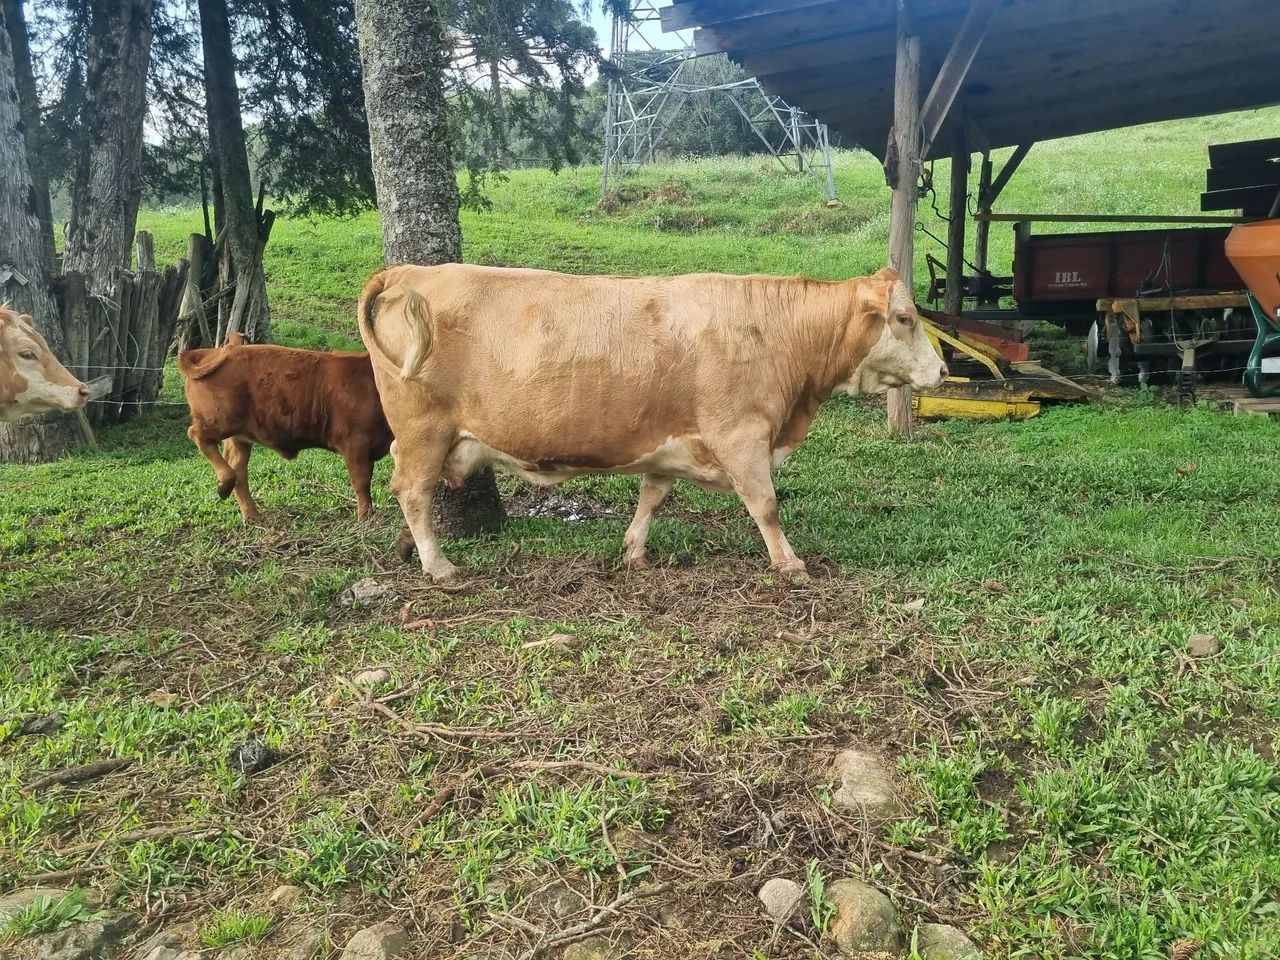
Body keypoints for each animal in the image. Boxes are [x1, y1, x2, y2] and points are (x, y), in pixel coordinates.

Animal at [178, 333, 394, 521]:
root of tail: (204, 353)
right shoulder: (355, 441)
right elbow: (362, 481)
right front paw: (365, 520)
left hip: (239, 435)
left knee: (238, 469)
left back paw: (251, 515)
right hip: (221, 421)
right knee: (197, 434)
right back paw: (224, 486)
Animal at [357, 263, 947, 582]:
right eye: (904, 317)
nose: (943, 370)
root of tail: (410, 270)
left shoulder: (670, 443)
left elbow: (652, 496)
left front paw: (634, 550)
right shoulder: (742, 435)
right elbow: (766, 504)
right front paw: (788, 562)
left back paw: (410, 548)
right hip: (425, 430)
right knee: (413, 490)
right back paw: (438, 564)